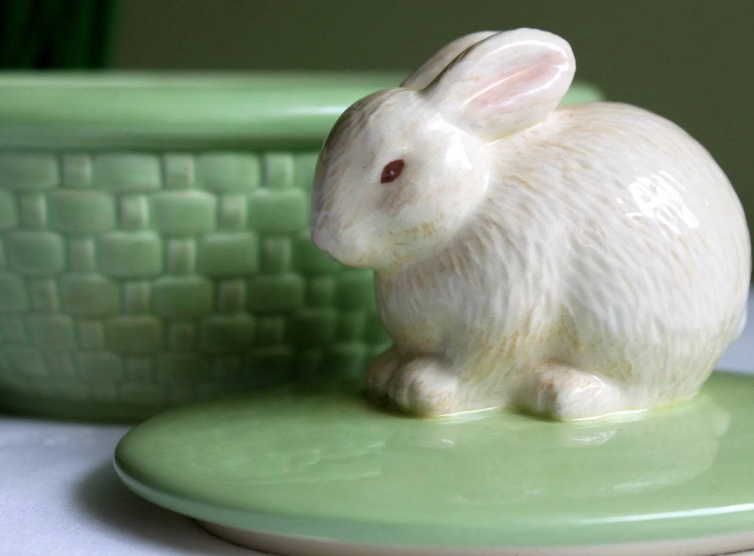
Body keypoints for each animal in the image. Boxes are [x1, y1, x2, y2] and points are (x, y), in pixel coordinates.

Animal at [308, 26, 748, 416]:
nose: (324, 238)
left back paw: (565, 392)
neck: (472, 205)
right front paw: (382, 375)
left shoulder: (507, 306)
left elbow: (478, 369)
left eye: (392, 170)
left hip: (637, 335)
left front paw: (425, 388)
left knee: (636, 390)